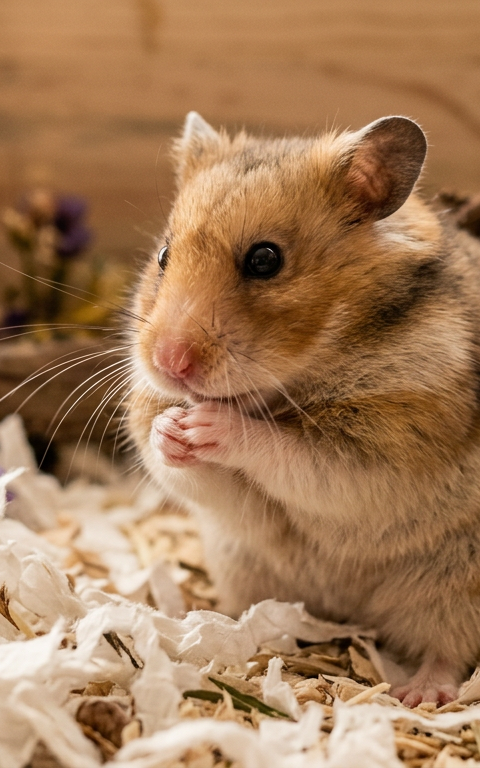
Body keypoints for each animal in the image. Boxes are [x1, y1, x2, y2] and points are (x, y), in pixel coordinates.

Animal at [127, 111, 480, 707]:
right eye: (163, 256)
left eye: (265, 260)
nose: (169, 363)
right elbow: (181, 466)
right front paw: (172, 428)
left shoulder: (384, 450)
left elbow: (293, 453)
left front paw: (208, 424)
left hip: (457, 585)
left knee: (448, 649)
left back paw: (419, 695)